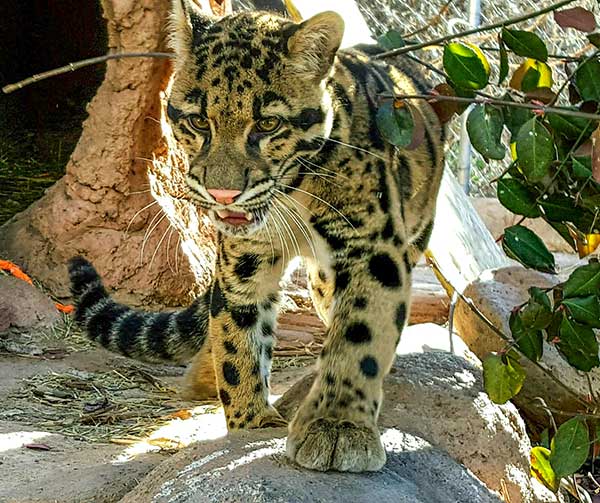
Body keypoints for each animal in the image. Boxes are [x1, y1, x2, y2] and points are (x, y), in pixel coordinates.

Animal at [70, 0, 446, 472]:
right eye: (199, 121)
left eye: (267, 124)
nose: (222, 192)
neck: (295, 193)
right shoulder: (244, 257)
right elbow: (237, 334)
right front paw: (251, 422)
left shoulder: (372, 248)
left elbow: (358, 334)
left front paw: (338, 426)